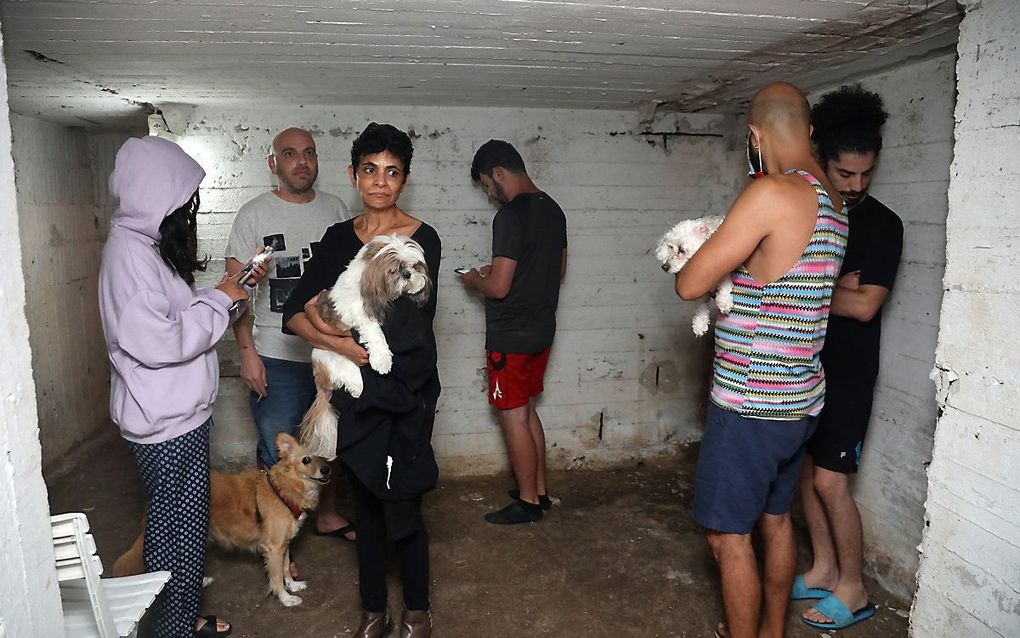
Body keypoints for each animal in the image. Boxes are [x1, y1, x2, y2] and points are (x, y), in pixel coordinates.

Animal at [115, 430, 330, 604]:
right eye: (306, 460)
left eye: (323, 456)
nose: (326, 470)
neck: (283, 489)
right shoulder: (274, 548)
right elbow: (276, 576)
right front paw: (285, 598)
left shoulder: (283, 544)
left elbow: (285, 568)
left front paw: (292, 585)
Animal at [299, 233, 432, 457]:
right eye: (395, 269)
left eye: (414, 266)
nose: (408, 274)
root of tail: (320, 384)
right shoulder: (359, 313)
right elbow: (375, 334)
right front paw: (382, 360)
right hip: (333, 359)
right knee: (348, 376)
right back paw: (357, 387)